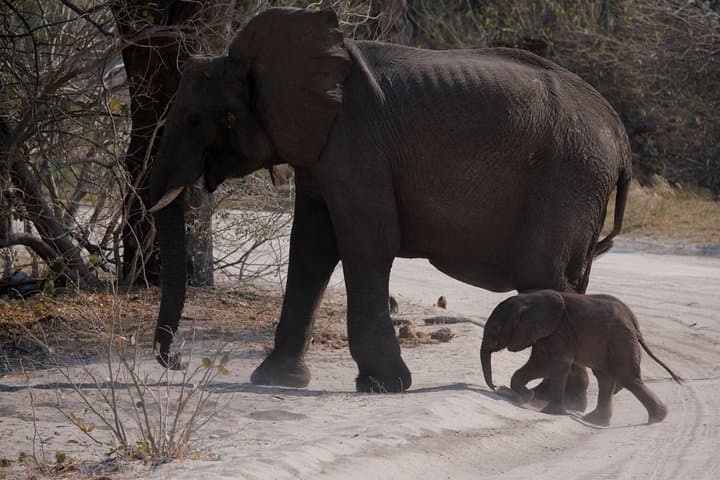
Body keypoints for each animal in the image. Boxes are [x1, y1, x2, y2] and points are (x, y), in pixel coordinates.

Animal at [148, 7, 632, 394]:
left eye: (197, 119)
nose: (177, 362)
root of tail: (619, 132)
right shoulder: (321, 150)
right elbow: (311, 245)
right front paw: (277, 380)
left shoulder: (356, 139)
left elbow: (367, 243)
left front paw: (383, 385)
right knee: (567, 282)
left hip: (570, 179)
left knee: (549, 277)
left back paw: (554, 401)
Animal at [480, 290, 683, 425]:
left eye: (495, 330)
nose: (497, 387)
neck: (528, 299)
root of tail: (634, 322)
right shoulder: (546, 332)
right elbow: (540, 364)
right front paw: (527, 395)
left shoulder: (559, 329)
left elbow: (558, 363)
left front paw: (549, 411)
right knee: (605, 378)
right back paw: (596, 421)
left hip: (620, 340)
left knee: (626, 377)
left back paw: (657, 418)